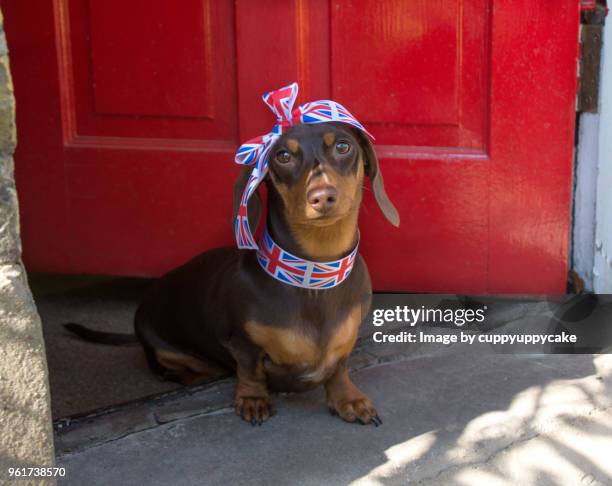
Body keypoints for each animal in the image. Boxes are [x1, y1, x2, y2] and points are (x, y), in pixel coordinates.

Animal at [67, 83, 400, 426]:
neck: (314, 274)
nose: (321, 196)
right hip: (163, 348)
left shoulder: (345, 342)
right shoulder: (242, 342)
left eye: (344, 147)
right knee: (171, 370)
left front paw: (348, 399)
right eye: (282, 155)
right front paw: (252, 398)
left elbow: (339, 367)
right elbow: (250, 369)